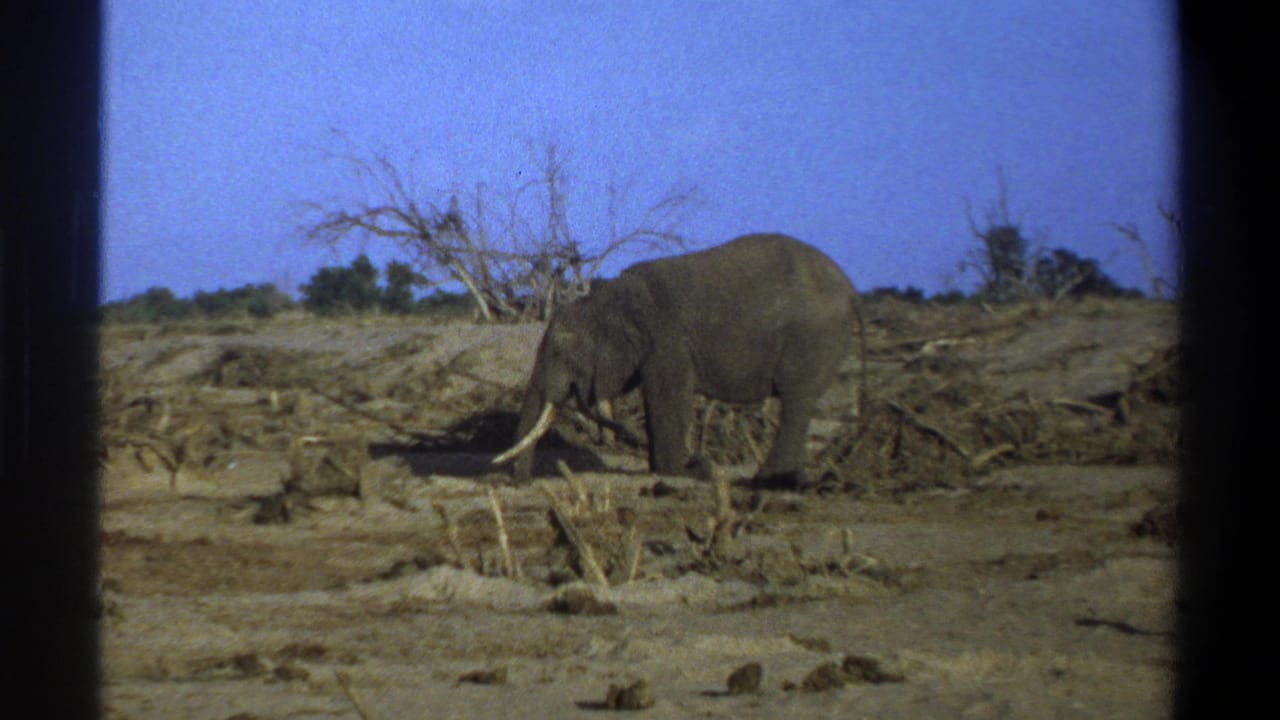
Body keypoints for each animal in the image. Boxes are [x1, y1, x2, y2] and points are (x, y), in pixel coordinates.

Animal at [494, 233, 862, 488]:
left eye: (560, 353)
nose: (521, 482)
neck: (610, 297)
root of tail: (851, 290)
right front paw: (678, 469)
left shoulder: (668, 342)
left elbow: (669, 399)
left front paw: (680, 470)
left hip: (813, 338)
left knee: (796, 401)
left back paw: (768, 481)